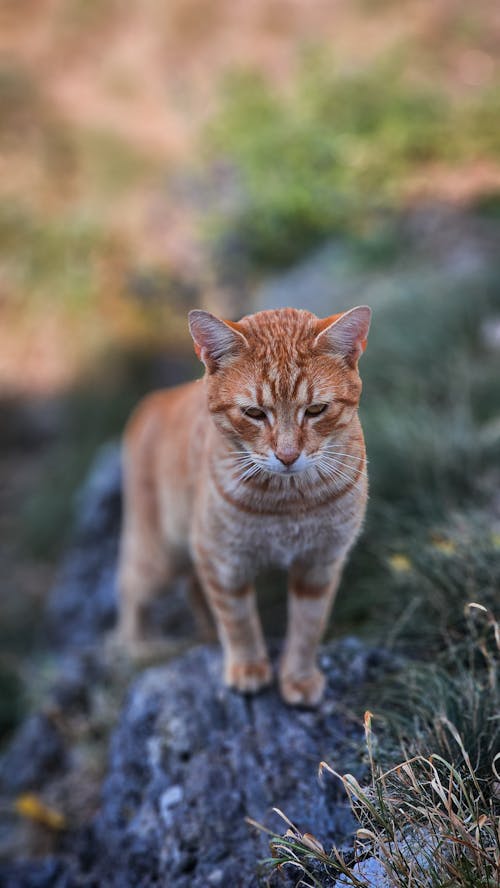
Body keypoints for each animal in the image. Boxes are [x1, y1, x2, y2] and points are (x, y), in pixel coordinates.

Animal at [115, 306, 370, 708]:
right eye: (254, 413)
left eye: (315, 409)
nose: (287, 456)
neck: (288, 502)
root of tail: (154, 399)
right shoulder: (222, 562)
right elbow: (238, 622)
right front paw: (249, 668)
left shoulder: (320, 564)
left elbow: (308, 626)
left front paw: (298, 677)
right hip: (160, 557)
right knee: (127, 586)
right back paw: (137, 647)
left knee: (190, 588)